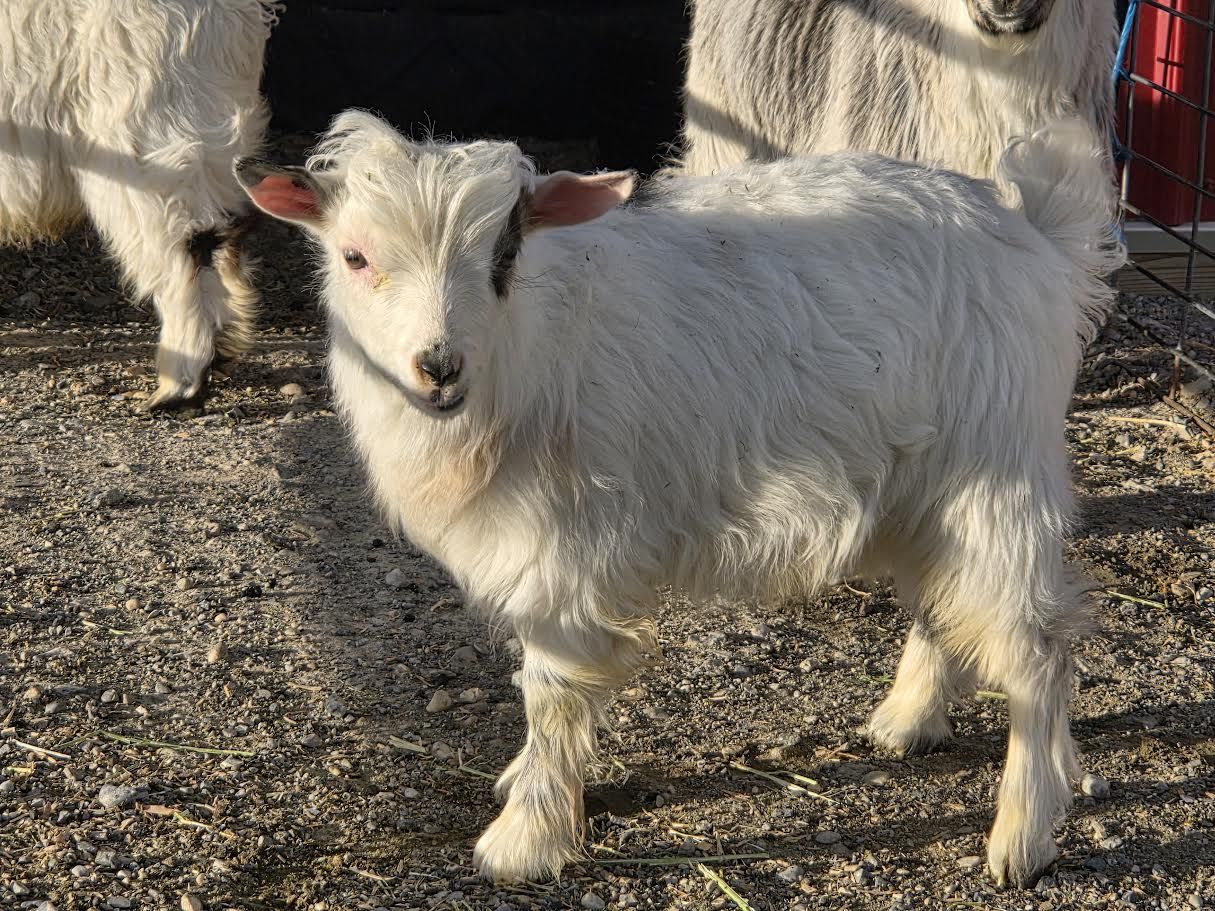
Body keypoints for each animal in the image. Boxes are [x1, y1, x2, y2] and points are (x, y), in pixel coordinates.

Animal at [237, 111, 1123, 888]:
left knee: (1036, 646)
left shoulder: (567, 551)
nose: (438, 366)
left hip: (997, 464)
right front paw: (521, 787)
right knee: (944, 601)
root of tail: (1036, 233)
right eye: (354, 256)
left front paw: (523, 840)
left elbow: (550, 690)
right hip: (926, 482)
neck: (530, 351)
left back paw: (1020, 838)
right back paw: (906, 721)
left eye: (505, 254)